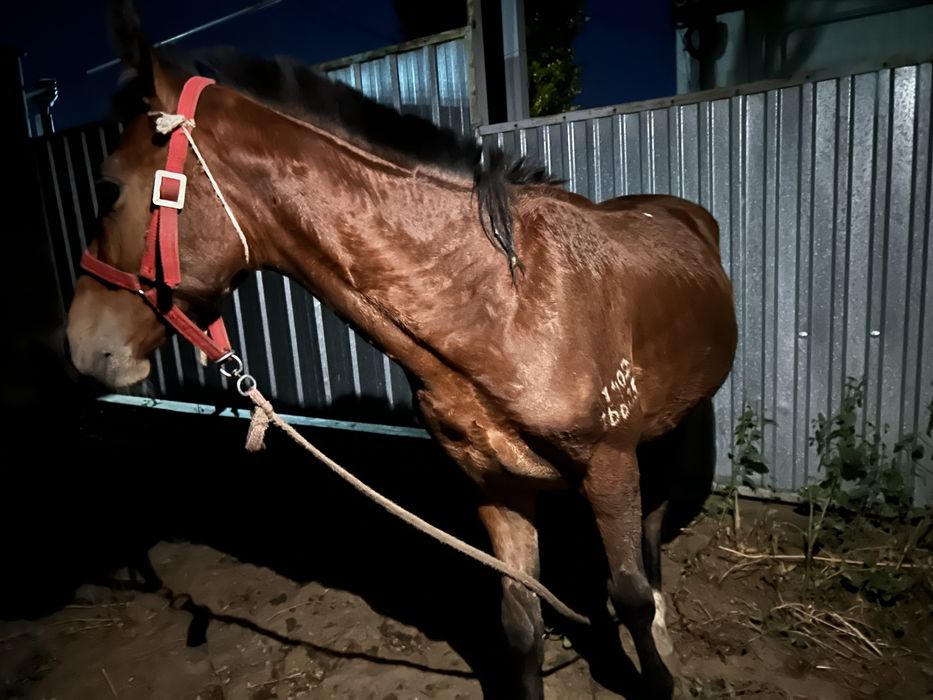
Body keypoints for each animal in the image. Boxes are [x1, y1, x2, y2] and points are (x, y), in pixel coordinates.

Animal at [64, 2, 737, 697]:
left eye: (108, 188)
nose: (82, 343)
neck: (508, 303)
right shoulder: (494, 484)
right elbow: (520, 623)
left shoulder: (609, 464)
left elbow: (627, 595)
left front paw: (658, 665)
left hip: (677, 423)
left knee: (655, 523)